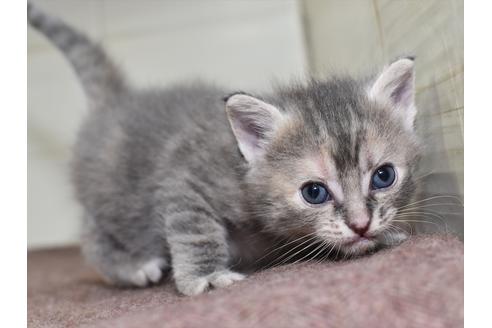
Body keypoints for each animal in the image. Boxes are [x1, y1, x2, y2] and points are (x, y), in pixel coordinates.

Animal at [26, 2, 418, 296]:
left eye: (384, 176)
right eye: (314, 192)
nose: (361, 225)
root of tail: (117, 101)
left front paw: (381, 236)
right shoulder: (185, 181)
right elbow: (196, 229)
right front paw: (206, 275)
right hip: (115, 200)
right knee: (92, 234)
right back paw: (132, 266)